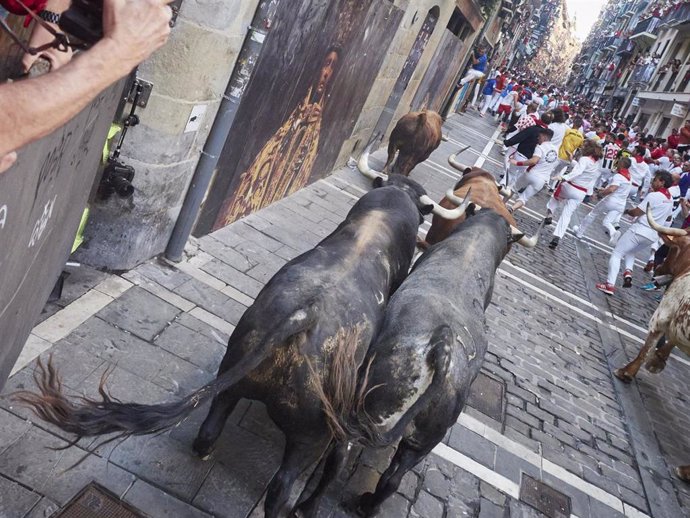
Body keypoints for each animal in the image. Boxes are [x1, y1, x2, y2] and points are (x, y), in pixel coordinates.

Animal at [16, 176, 432, 518]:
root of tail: (304, 315)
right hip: (311, 435)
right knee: (282, 488)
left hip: (233, 378)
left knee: (210, 427)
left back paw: (204, 450)